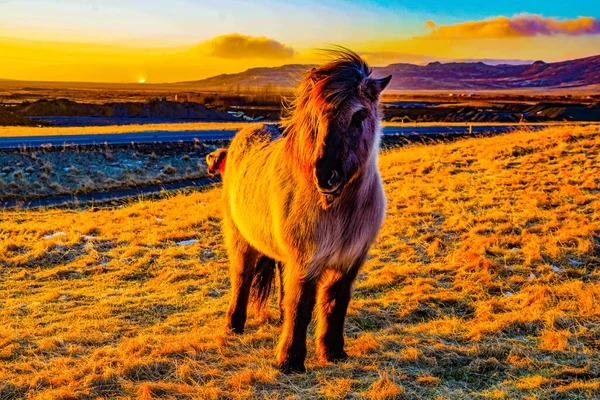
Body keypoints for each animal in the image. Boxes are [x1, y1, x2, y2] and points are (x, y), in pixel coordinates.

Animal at [221, 48, 390, 374]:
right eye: (316, 116)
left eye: (359, 116)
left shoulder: (349, 262)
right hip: (242, 241)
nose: (325, 175)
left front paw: (333, 352)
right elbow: (300, 307)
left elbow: (335, 304)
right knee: (242, 278)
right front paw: (290, 360)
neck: (341, 209)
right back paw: (234, 326)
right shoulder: (306, 261)